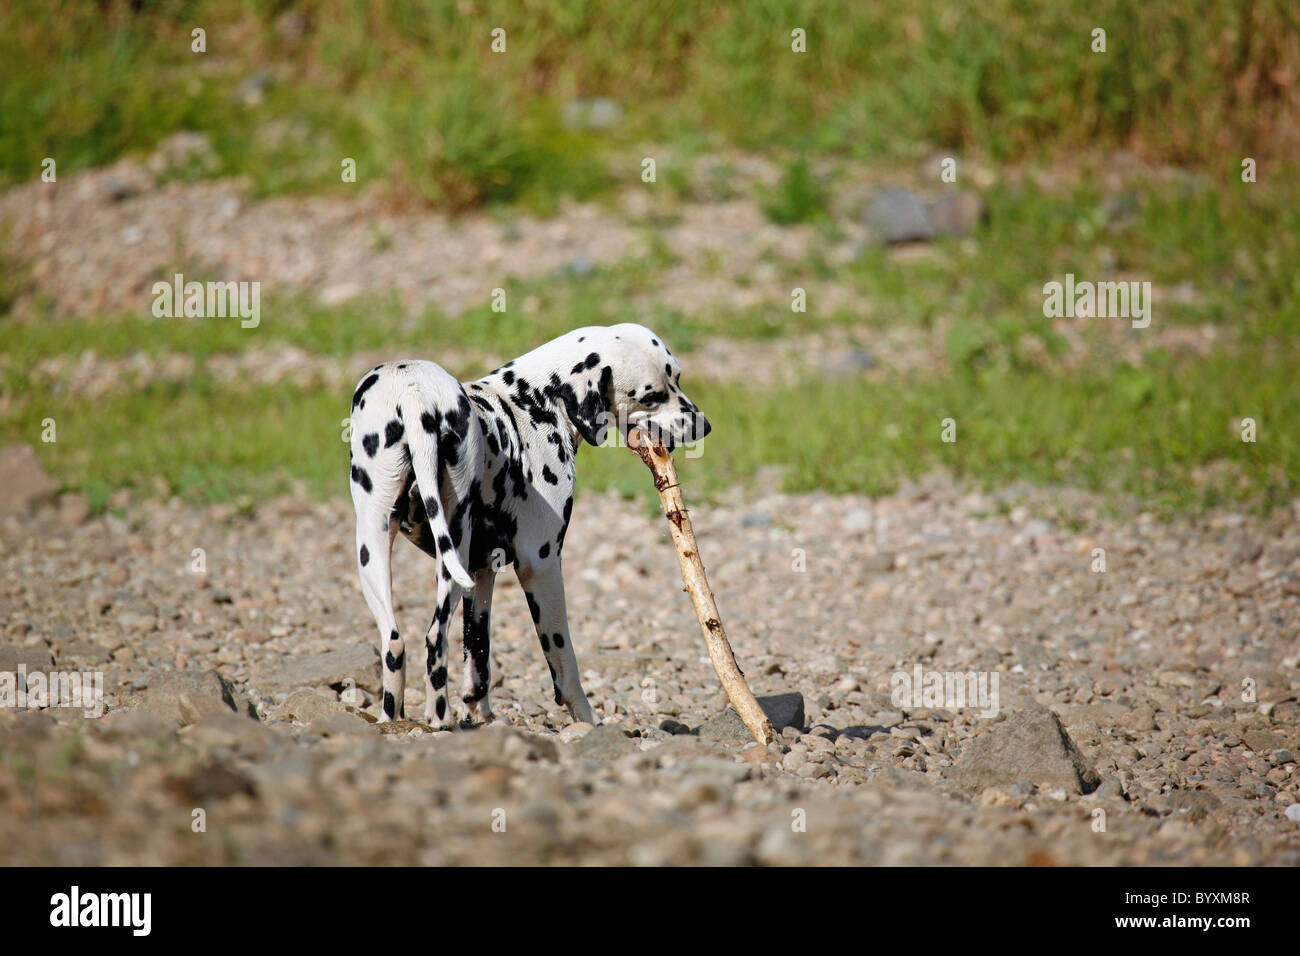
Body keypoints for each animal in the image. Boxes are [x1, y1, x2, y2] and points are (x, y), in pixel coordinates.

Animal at [348, 325, 712, 728]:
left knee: (395, 643)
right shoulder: (542, 566)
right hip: (451, 552)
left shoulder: (482, 575)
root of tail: (415, 393)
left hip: (376, 552)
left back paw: (394, 720)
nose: (705, 426)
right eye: (652, 395)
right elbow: (565, 663)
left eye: (676, 377)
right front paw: (589, 721)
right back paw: (441, 720)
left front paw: (481, 716)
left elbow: (478, 659)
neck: (533, 404)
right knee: (434, 640)